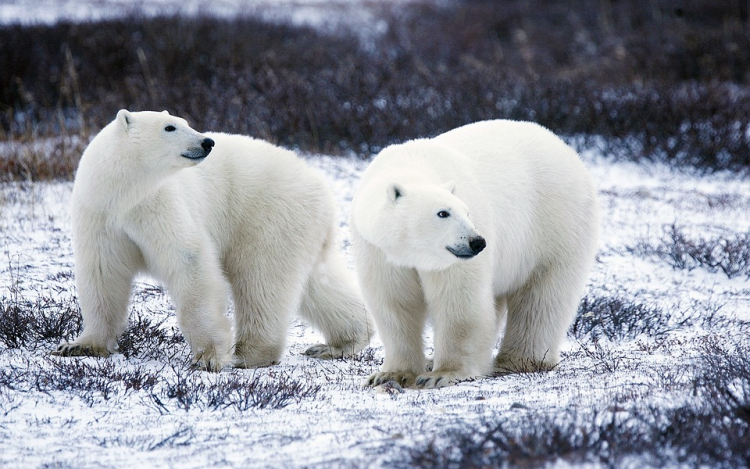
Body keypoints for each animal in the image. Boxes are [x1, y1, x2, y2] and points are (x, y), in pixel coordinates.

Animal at [53, 109, 374, 370]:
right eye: (170, 127)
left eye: (186, 122)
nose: (207, 142)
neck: (123, 193)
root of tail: (322, 186)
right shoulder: (100, 214)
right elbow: (102, 273)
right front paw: (79, 345)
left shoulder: (159, 204)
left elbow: (189, 261)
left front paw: (208, 357)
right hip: (301, 227)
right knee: (317, 283)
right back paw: (340, 343)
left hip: (269, 215)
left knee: (261, 280)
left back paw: (250, 354)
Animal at [354, 119, 604, 388]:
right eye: (443, 213)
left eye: (467, 212)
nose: (477, 242)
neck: (412, 164)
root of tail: (565, 148)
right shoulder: (379, 251)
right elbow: (394, 303)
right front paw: (390, 375)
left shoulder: (453, 260)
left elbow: (459, 301)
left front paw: (443, 374)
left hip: (556, 224)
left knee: (542, 297)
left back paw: (518, 361)